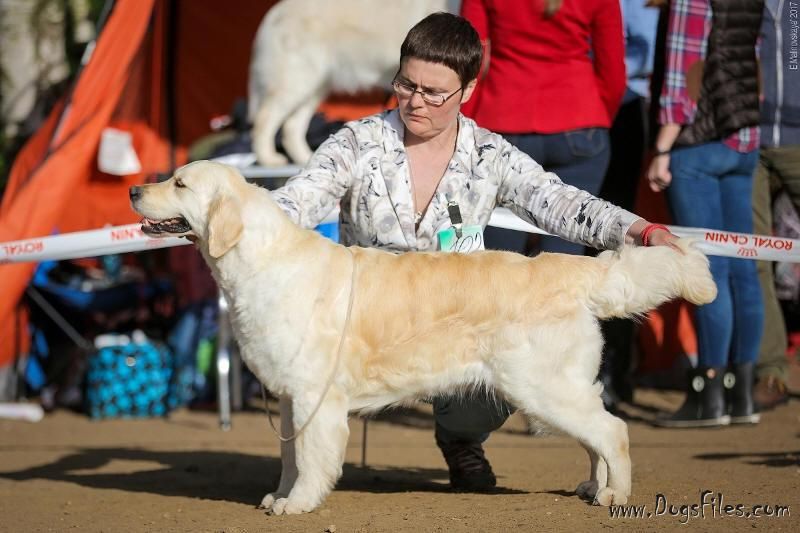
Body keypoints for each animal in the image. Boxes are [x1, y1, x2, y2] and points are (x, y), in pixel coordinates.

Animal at [131, 160, 720, 512]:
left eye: (179, 183)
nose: (134, 188)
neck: (260, 260)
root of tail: (574, 270)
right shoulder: (292, 397)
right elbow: (289, 458)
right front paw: (278, 497)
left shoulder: (315, 396)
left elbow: (311, 460)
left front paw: (297, 504)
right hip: (558, 388)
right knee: (597, 434)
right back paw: (593, 486)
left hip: (541, 387)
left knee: (613, 431)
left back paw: (616, 494)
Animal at [247, 0, 460, 166]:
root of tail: (275, 13)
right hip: (297, 80)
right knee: (264, 119)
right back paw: (268, 158)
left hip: (315, 87)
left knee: (291, 127)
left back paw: (307, 158)